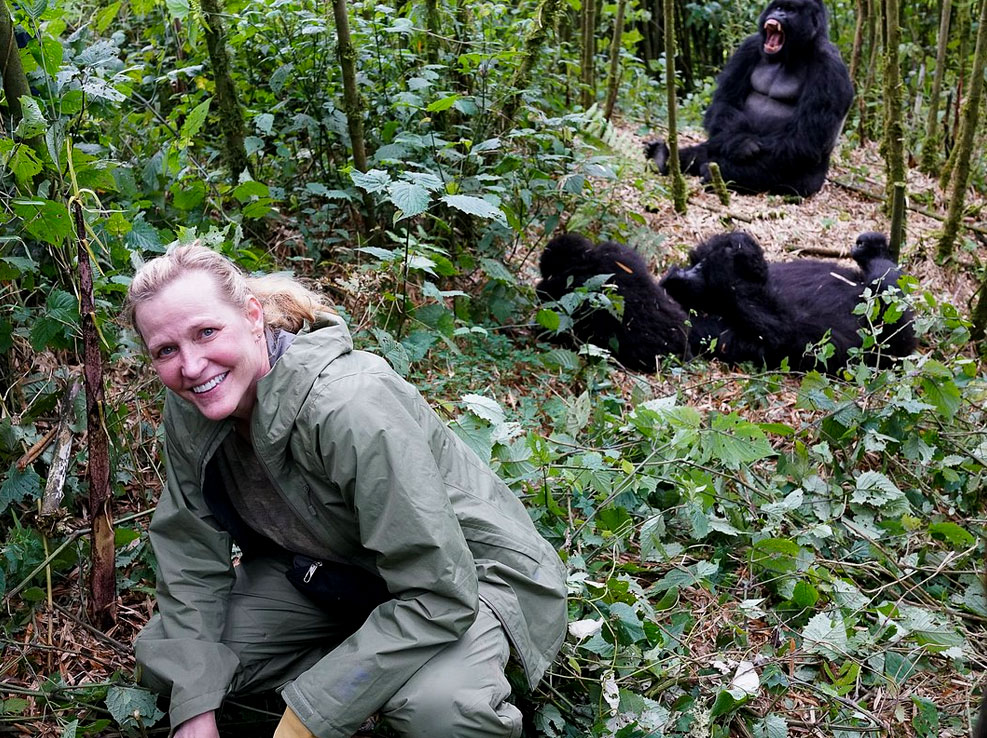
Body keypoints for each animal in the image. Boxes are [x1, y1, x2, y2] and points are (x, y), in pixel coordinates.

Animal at [648, 0, 856, 197]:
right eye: (779, 7)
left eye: (790, 11)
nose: (778, 15)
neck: (797, 50)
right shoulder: (750, 46)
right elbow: (725, 103)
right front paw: (740, 143)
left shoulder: (829, 64)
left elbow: (806, 137)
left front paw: (733, 168)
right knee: (711, 147)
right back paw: (662, 157)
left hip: (810, 181)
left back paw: (720, 175)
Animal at [660, 230, 924, 368]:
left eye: (694, 264)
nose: (687, 271)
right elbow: (781, 330)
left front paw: (732, 249)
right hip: (894, 341)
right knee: (889, 304)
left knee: (882, 282)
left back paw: (873, 252)